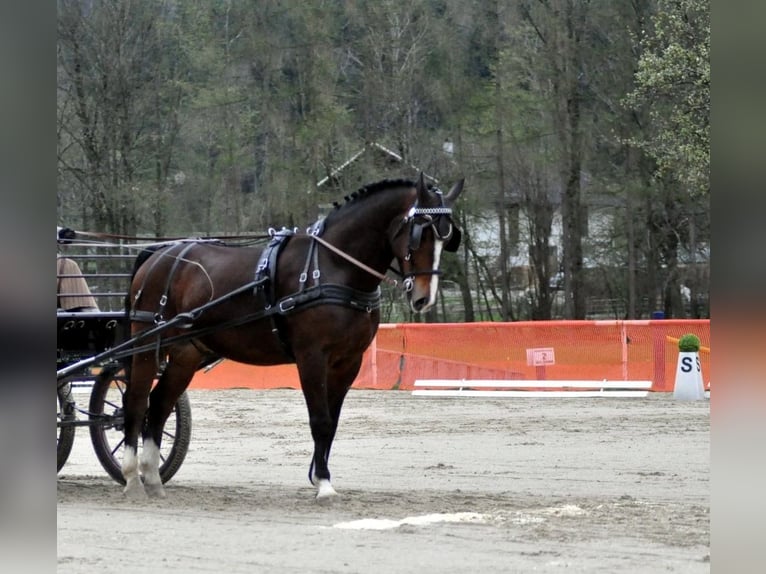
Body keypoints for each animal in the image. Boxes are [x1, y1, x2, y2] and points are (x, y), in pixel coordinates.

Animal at [116, 173, 462, 502]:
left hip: (186, 353)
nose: (423, 298)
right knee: (135, 402)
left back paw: (153, 478)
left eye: (447, 237)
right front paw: (324, 485)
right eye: (420, 231)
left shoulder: (348, 362)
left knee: (159, 405)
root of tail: (159, 253)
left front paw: (319, 476)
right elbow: (320, 420)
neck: (333, 266)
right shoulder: (312, 357)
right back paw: (132, 477)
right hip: (146, 344)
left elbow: (332, 423)